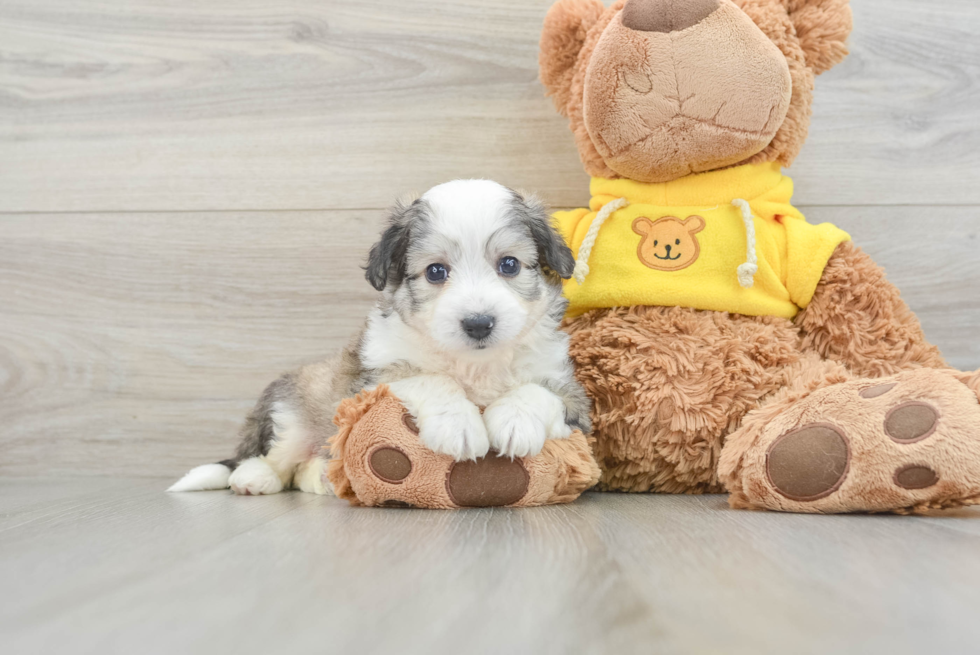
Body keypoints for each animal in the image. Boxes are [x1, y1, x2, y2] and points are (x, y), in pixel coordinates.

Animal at [170, 179, 588, 498]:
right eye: (436, 271)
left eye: (509, 264)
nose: (479, 323)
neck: (473, 364)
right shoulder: (374, 379)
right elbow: (430, 379)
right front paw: (459, 425)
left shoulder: (573, 398)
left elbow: (537, 390)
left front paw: (516, 422)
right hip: (289, 412)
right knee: (274, 457)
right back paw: (254, 477)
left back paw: (322, 479)